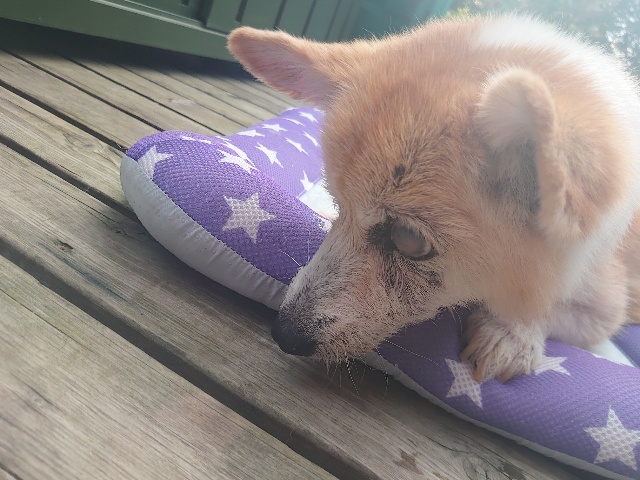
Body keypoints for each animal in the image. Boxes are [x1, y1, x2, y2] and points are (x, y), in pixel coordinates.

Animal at [227, 14, 640, 382]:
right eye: (339, 205)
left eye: (409, 240)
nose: (283, 333)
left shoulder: (603, 306)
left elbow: (547, 306)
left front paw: (511, 333)